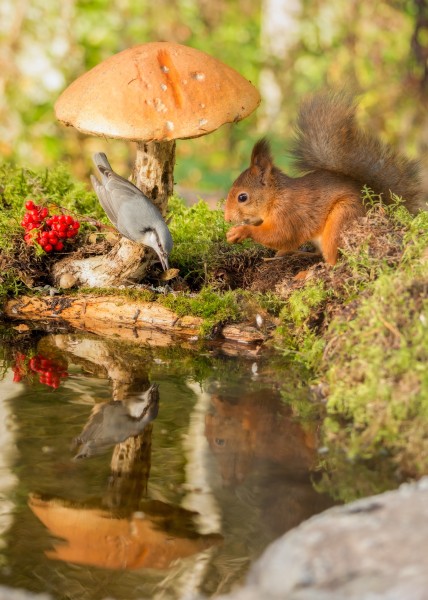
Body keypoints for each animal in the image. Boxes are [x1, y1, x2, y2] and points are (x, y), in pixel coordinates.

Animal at [224, 92, 424, 264]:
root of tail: (377, 204)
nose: (227, 219)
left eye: (242, 197)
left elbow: (282, 235)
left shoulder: (290, 212)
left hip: (341, 218)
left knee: (333, 261)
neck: (275, 196)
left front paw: (241, 231)